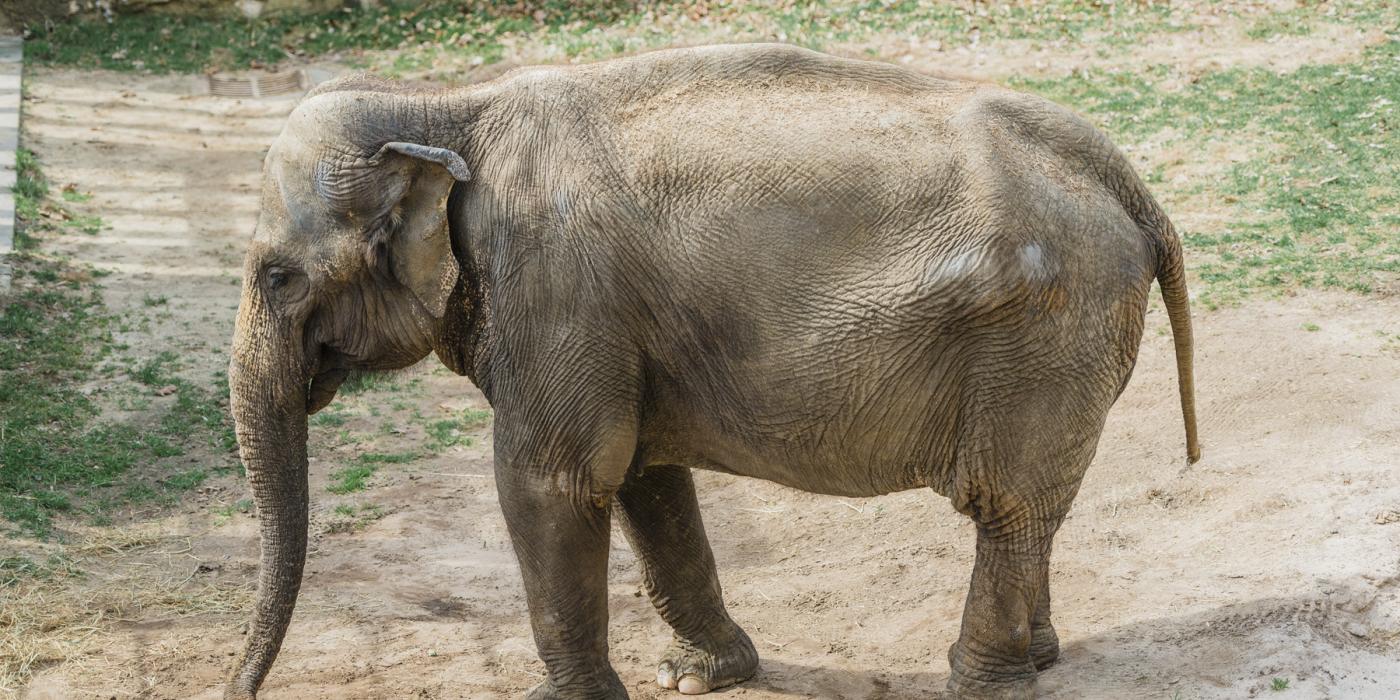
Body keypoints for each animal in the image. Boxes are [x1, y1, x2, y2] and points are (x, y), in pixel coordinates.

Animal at [224, 42, 1198, 700]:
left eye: (277, 277)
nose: (241, 689)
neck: (444, 111)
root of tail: (1125, 177)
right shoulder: (614, 327)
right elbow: (642, 479)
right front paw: (699, 677)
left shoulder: (558, 293)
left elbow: (550, 484)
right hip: (1064, 337)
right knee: (1032, 509)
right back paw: (1039, 658)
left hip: (1044, 332)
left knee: (1006, 504)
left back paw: (979, 681)